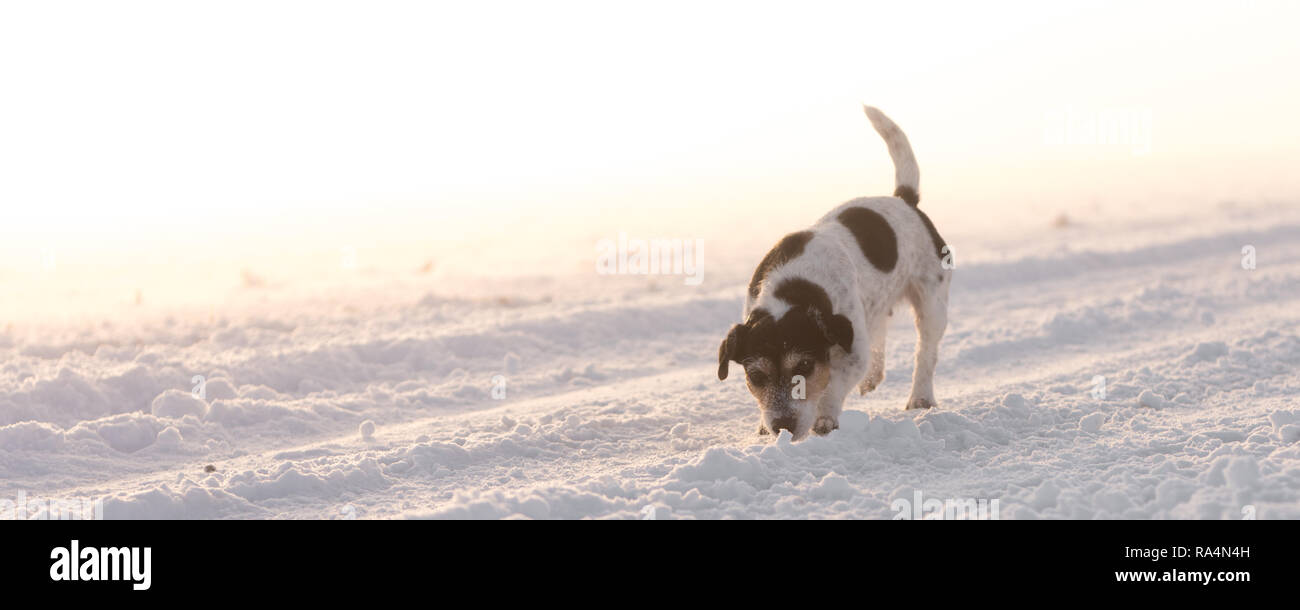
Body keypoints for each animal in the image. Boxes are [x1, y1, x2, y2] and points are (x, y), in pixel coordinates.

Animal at [717, 104, 951, 437]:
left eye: (804, 366)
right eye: (757, 376)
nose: (783, 427)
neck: (793, 285)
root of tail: (904, 199)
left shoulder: (853, 350)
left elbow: (833, 384)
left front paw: (824, 418)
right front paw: (764, 425)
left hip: (932, 302)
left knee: (925, 352)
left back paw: (920, 397)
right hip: (875, 307)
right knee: (880, 332)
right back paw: (873, 378)